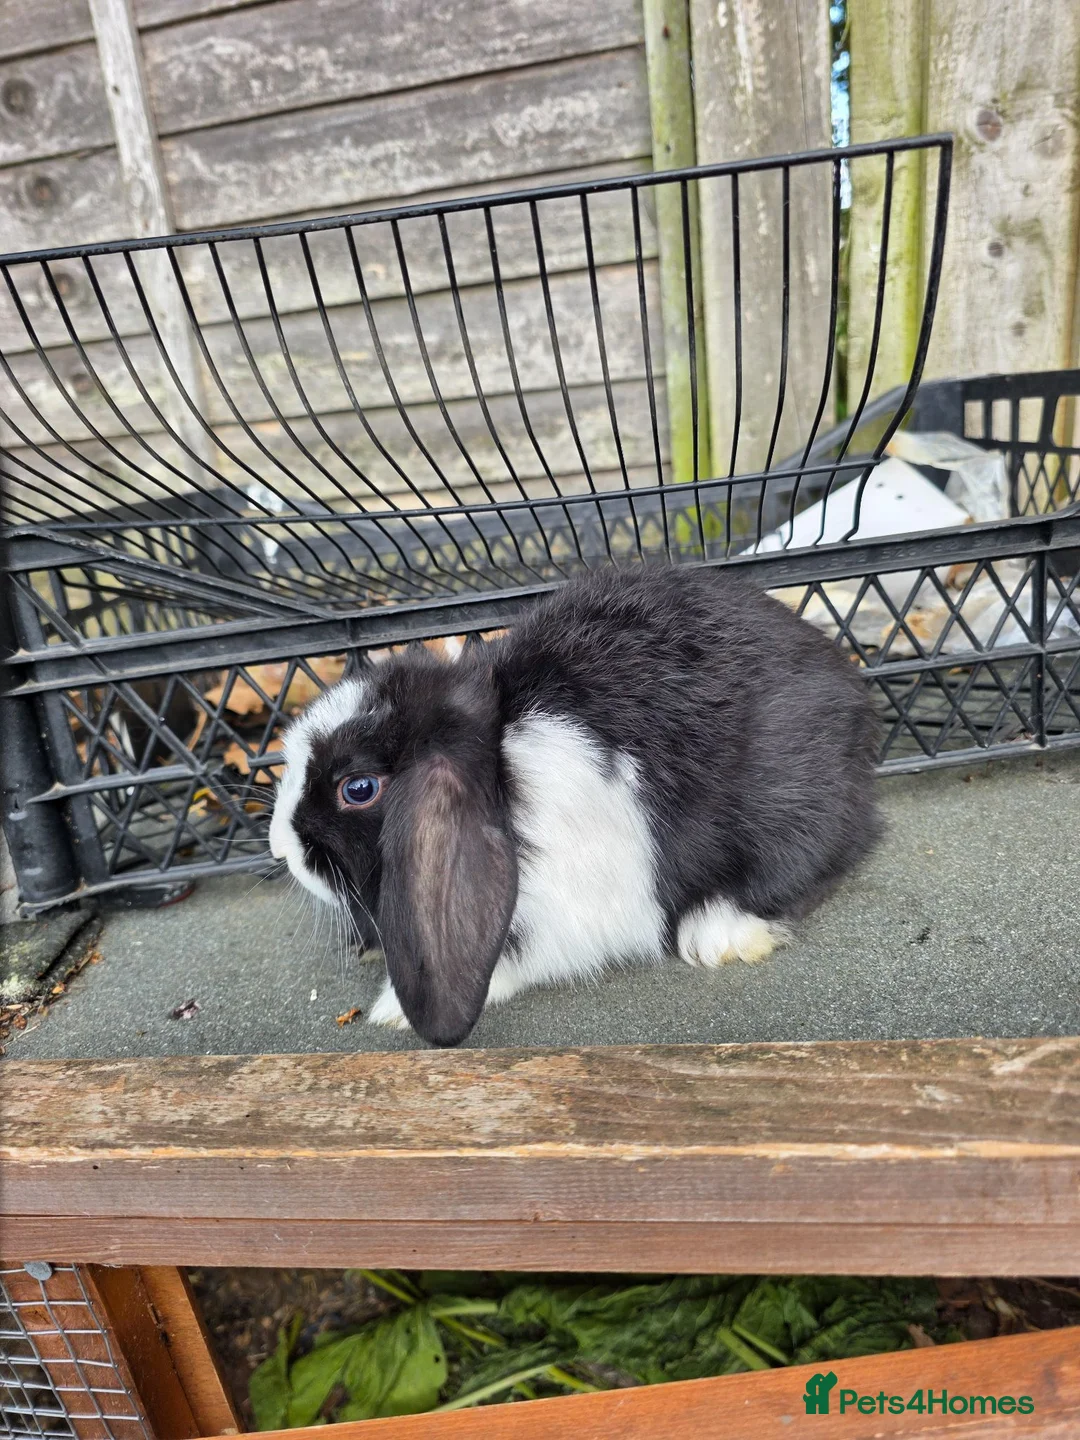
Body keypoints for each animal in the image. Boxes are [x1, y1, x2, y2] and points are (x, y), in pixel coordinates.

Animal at [268, 565, 882, 1046]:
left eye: (358, 789)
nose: (279, 848)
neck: (500, 764)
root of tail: (852, 691)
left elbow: (510, 959)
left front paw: (391, 1011)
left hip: (790, 807)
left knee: (813, 862)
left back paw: (718, 933)